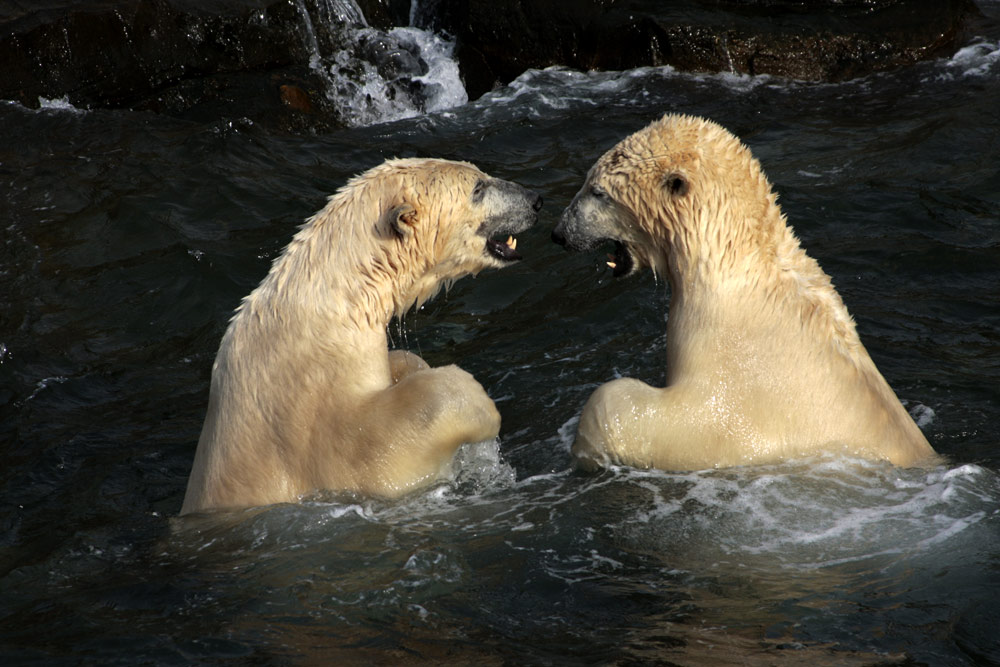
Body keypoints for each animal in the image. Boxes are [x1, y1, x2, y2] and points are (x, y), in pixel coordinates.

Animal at [180, 159, 540, 516]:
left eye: (481, 173)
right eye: (478, 188)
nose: (535, 199)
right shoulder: (320, 418)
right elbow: (383, 449)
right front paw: (481, 407)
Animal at [552, 113, 940, 470]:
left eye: (598, 192)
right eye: (588, 182)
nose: (559, 234)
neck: (737, 266)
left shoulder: (734, 381)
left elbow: (645, 414)